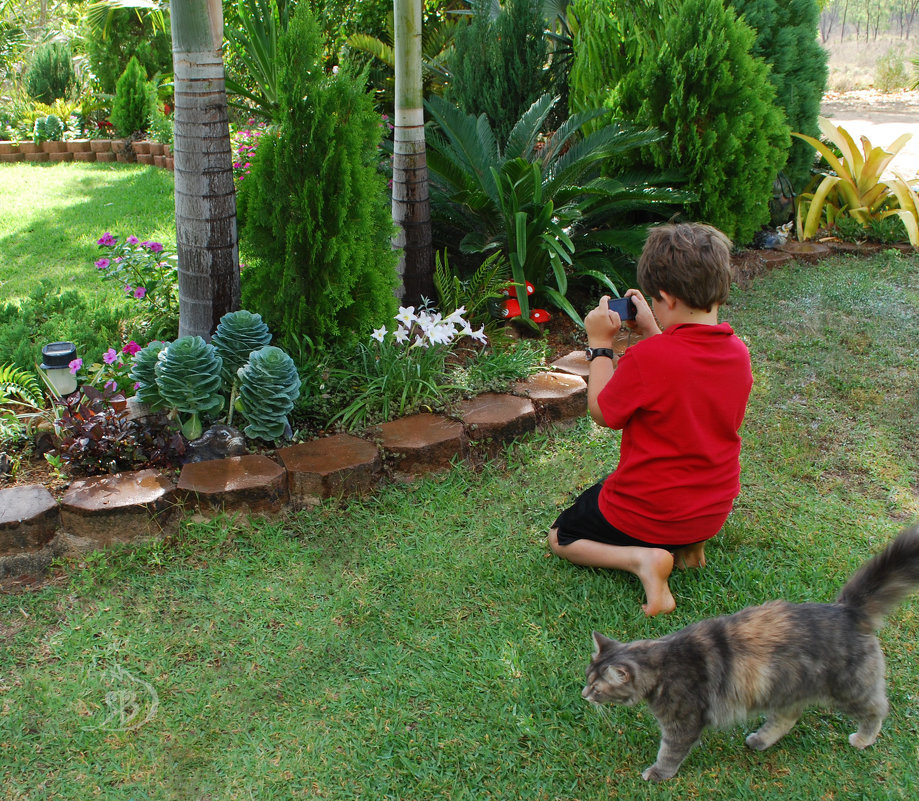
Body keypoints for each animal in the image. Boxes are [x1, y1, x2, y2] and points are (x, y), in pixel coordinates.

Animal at [584, 524, 919, 780]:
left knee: (877, 709)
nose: (584, 695)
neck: (664, 663)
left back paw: (863, 739)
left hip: (849, 688)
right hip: (785, 688)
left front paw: (657, 774)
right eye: (587, 678)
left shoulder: (684, 723)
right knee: (788, 717)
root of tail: (847, 610)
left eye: (597, 687)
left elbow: (669, 753)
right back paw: (760, 740)